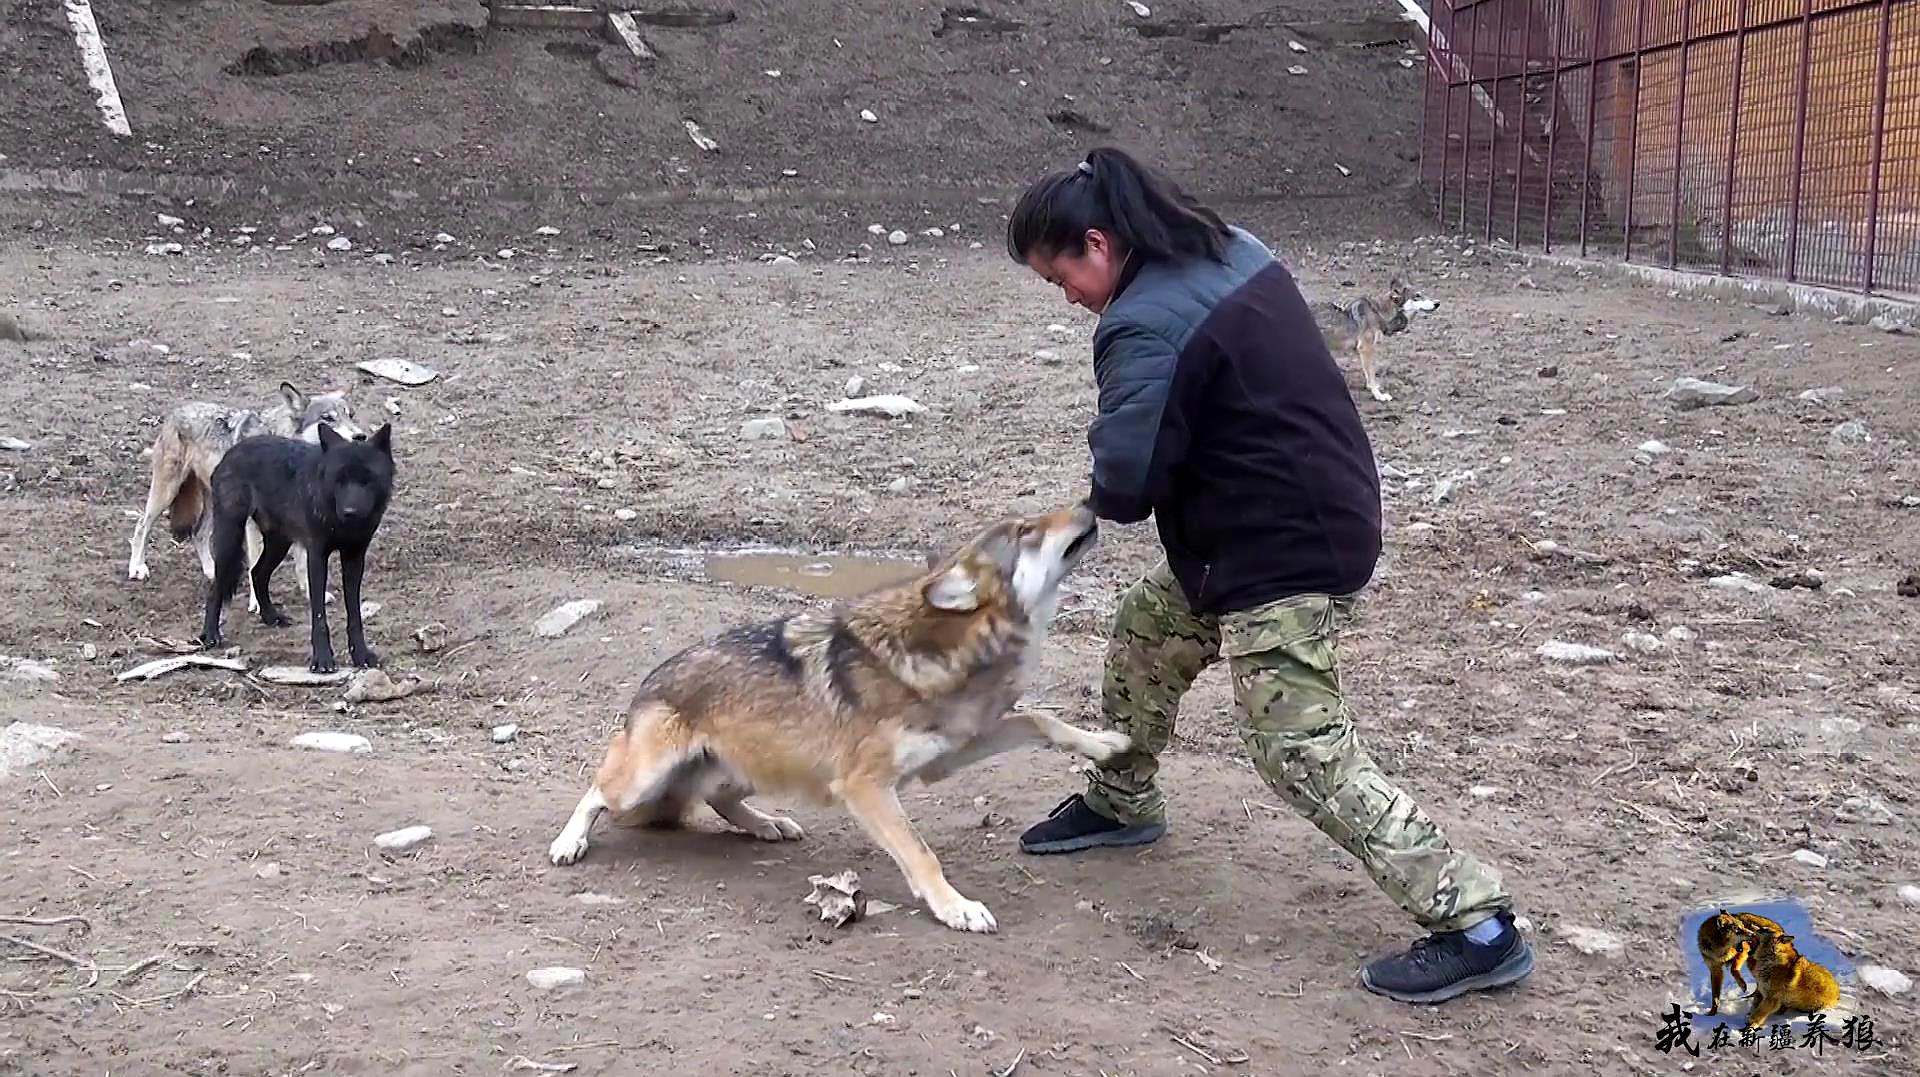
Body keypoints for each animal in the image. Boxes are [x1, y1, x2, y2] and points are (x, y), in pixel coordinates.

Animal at [131, 382, 366, 614]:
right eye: (327, 418)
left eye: (351, 415)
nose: (360, 437)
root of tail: (177, 410)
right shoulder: (253, 525)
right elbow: (255, 564)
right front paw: (258, 604)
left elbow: (302, 562)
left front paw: (311, 594)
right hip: (167, 493)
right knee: (142, 525)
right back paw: (137, 568)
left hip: (217, 503)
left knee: (198, 534)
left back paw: (211, 572)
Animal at [199, 420, 397, 671]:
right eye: (339, 480)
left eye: (367, 479)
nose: (350, 512)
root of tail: (232, 451)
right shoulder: (317, 556)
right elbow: (319, 615)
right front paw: (322, 660)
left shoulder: (354, 558)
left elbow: (355, 615)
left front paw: (361, 655)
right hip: (231, 541)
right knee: (217, 586)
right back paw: (210, 635)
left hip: (279, 544)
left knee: (257, 573)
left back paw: (271, 617)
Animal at [545, 502, 1121, 933]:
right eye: (1026, 531)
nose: (1091, 501)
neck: (954, 650)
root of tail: (649, 684)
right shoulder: (864, 785)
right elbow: (920, 852)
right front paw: (956, 907)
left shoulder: (950, 754)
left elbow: (1042, 721)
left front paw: (1109, 744)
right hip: (645, 780)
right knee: (597, 789)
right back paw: (569, 843)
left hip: (758, 768)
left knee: (717, 799)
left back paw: (769, 825)